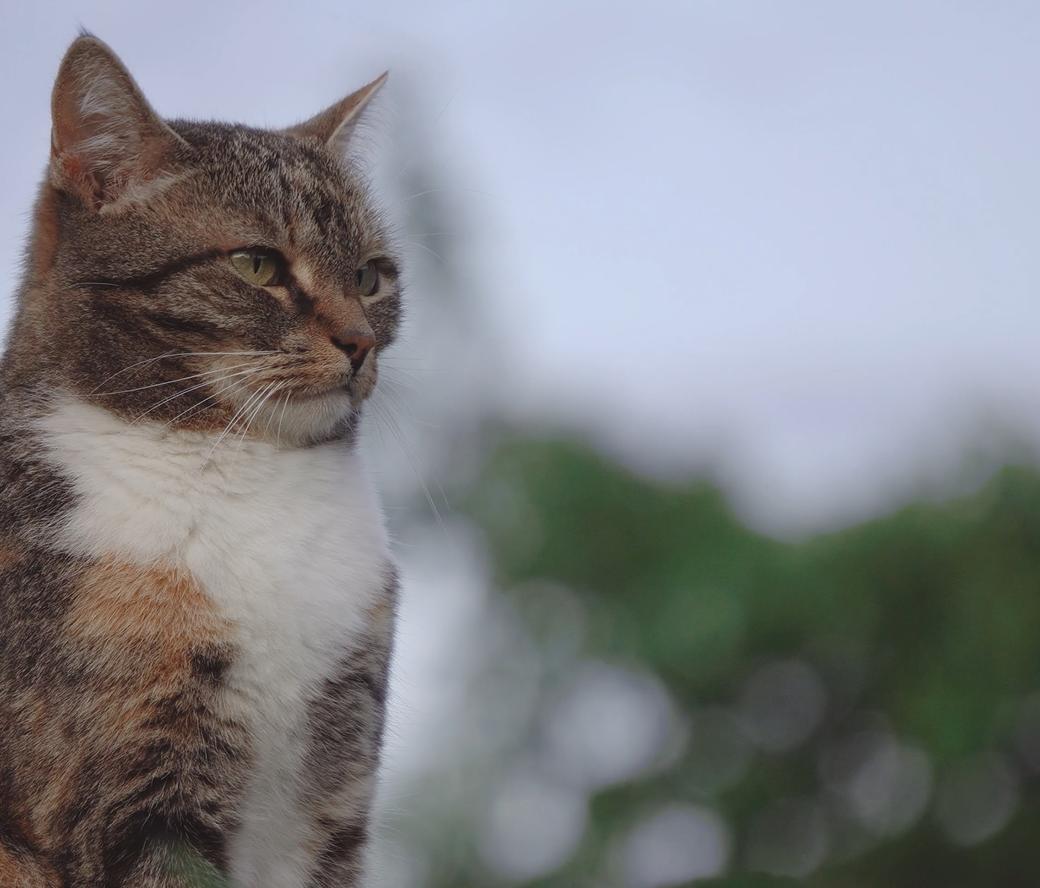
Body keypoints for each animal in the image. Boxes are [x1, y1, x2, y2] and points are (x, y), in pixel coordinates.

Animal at [0, 31, 401, 885]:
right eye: (257, 265)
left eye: (370, 277)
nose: (359, 342)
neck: (243, 469)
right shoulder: (132, 793)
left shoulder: (337, 802)